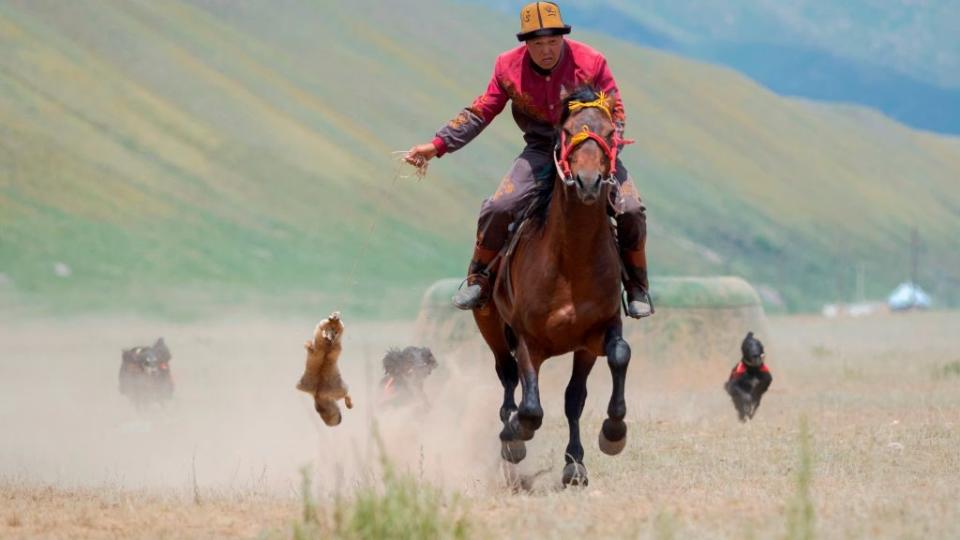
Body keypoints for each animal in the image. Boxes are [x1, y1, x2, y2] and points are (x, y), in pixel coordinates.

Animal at [476, 86, 632, 488]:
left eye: (611, 132)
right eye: (567, 131)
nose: (589, 181)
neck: (571, 262)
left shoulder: (595, 336)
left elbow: (595, 379)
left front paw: (608, 437)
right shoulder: (528, 340)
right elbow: (531, 408)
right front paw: (516, 433)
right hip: (490, 326)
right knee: (506, 375)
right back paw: (509, 436)